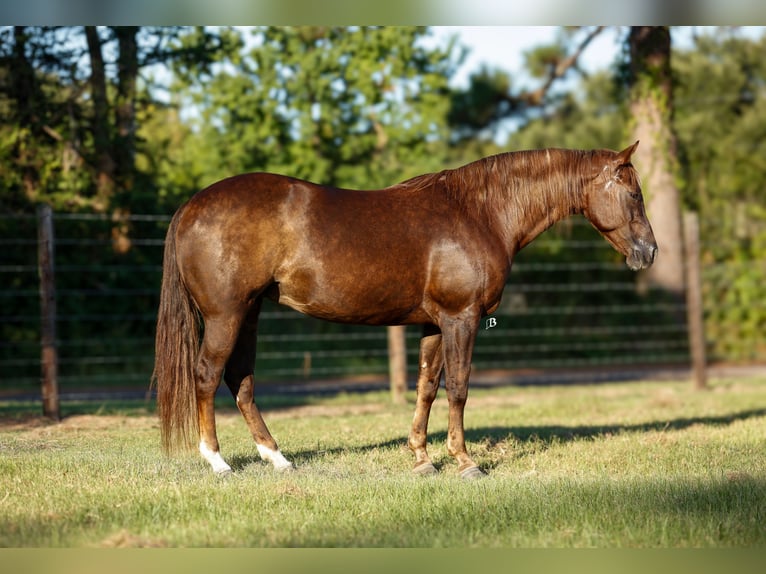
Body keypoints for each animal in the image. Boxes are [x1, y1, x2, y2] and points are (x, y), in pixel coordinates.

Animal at [152, 142, 656, 479]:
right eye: (634, 194)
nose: (649, 252)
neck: (480, 212)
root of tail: (191, 205)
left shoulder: (433, 324)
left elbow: (426, 389)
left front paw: (422, 458)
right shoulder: (461, 318)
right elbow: (458, 388)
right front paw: (465, 462)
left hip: (250, 314)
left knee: (241, 380)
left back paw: (277, 457)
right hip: (227, 316)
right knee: (207, 375)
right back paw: (217, 461)